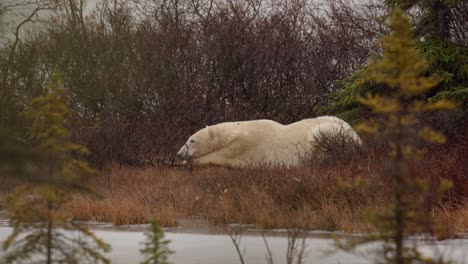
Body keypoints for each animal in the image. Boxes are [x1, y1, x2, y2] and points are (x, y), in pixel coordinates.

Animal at [176, 116, 362, 167]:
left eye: (191, 140)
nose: (179, 154)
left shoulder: (246, 145)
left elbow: (222, 156)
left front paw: (189, 162)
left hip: (330, 132)